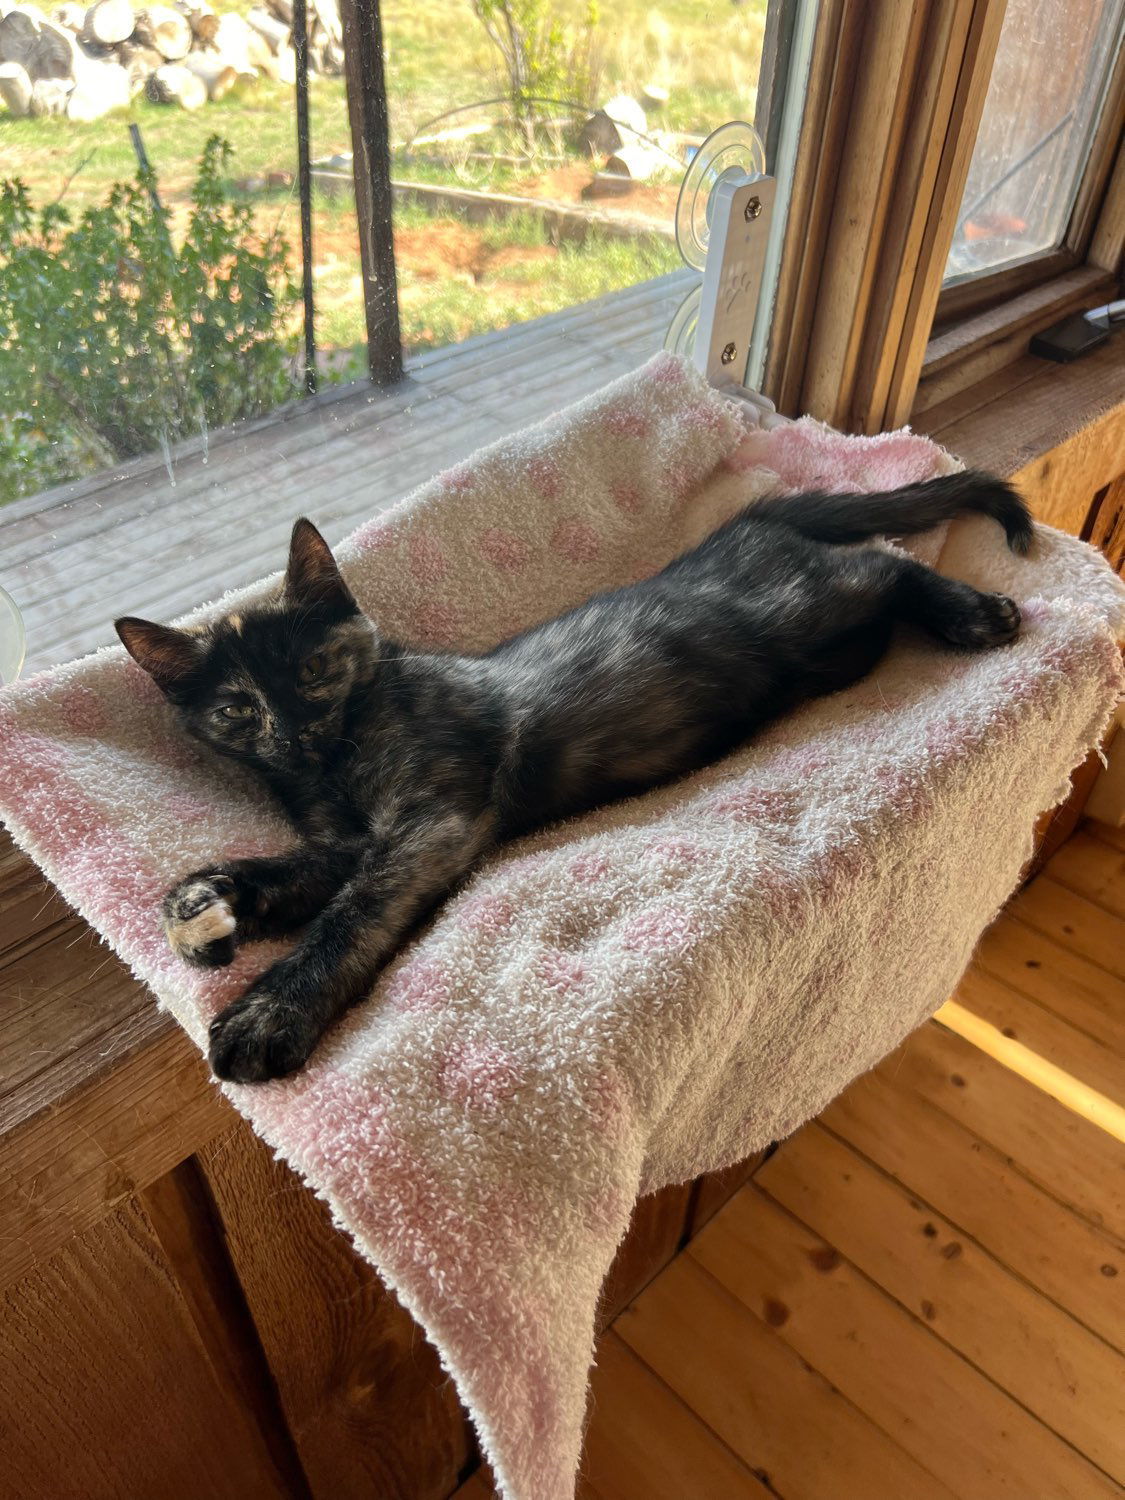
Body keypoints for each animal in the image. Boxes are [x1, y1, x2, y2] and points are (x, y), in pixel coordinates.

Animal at [114, 468, 1032, 1080]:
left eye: (312, 670)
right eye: (236, 710)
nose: (295, 734)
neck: (330, 771)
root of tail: (745, 522)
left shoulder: (430, 818)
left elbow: (353, 912)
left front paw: (270, 1011)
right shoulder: (341, 841)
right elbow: (277, 875)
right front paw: (203, 911)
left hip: (805, 607)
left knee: (883, 560)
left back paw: (971, 611)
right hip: (832, 649)